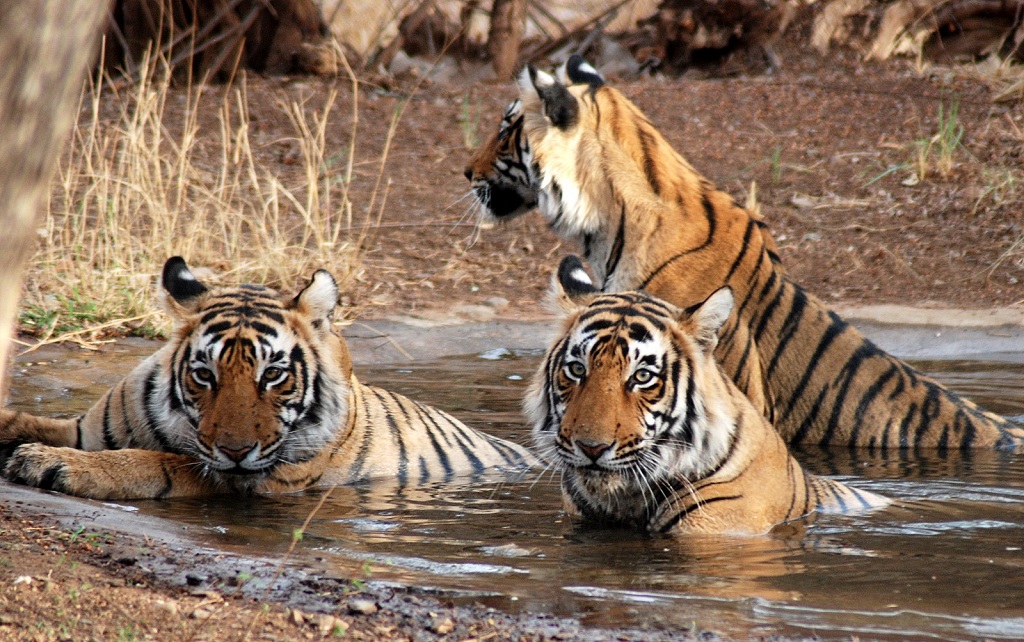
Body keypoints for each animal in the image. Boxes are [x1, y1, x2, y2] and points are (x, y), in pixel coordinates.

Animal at [0, 257, 540, 501]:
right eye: (204, 375)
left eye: (274, 375)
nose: (236, 450)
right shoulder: (84, 428)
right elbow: (27, 421)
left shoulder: (248, 478)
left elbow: (155, 461)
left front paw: (50, 464)